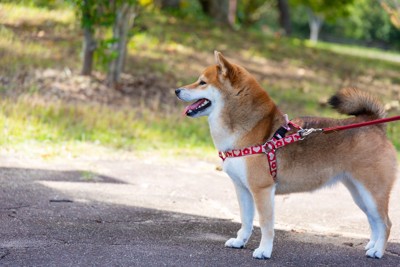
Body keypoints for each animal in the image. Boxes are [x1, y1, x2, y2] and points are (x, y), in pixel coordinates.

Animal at [175, 51, 396, 260]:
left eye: (202, 82)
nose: (177, 90)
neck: (249, 130)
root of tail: (374, 125)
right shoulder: (242, 188)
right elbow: (246, 220)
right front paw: (240, 241)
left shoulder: (262, 190)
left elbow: (265, 225)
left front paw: (264, 251)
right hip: (360, 194)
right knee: (374, 221)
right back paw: (371, 246)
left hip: (372, 192)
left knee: (386, 223)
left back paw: (377, 251)